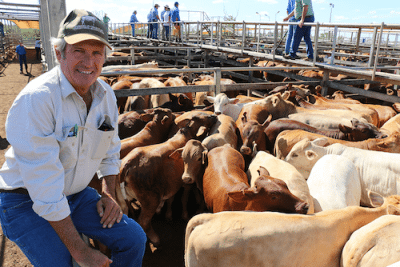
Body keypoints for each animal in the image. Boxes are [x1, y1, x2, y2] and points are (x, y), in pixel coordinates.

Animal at [117, 113, 217, 249]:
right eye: (204, 116)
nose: (215, 116)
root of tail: (128, 163)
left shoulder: (172, 183)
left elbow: (171, 199)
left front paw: (167, 214)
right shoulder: (186, 182)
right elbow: (183, 198)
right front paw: (184, 215)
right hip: (150, 199)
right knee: (143, 221)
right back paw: (155, 239)